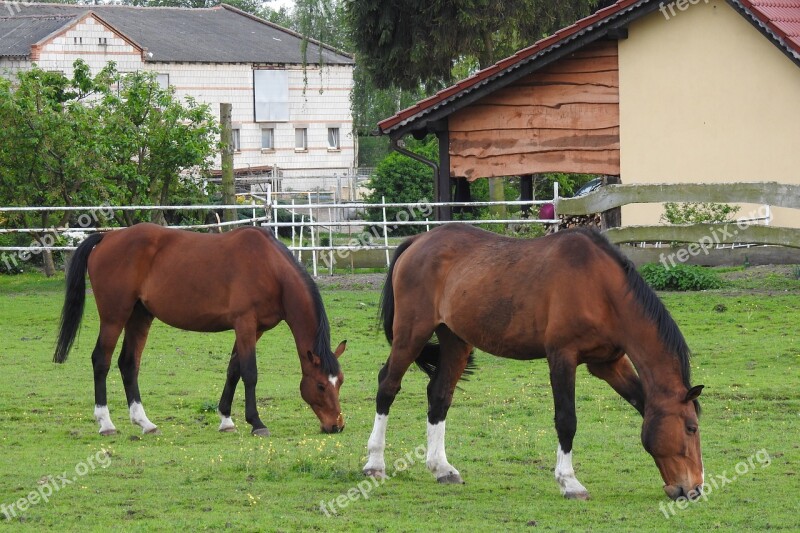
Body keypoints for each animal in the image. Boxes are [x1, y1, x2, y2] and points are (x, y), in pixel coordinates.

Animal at [53, 222, 346, 434]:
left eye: (340, 381)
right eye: (321, 386)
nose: (337, 426)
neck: (271, 269)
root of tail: (108, 237)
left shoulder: (255, 329)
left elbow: (233, 370)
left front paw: (226, 419)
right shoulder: (245, 323)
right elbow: (249, 372)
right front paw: (256, 423)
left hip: (140, 316)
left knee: (128, 363)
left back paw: (144, 422)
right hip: (114, 316)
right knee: (101, 360)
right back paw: (106, 423)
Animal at [366, 223, 704, 498]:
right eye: (691, 428)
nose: (695, 489)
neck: (601, 288)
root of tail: (418, 240)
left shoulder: (608, 364)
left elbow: (641, 402)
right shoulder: (562, 357)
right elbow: (566, 420)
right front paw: (569, 482)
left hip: (455, 341)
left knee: (439, 396)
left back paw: (441, 468)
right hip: (412, 333)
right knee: (387, 386)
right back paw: (374, 463)